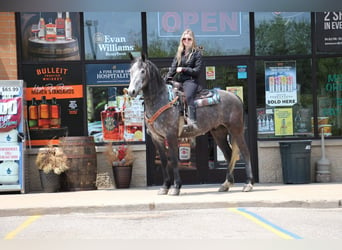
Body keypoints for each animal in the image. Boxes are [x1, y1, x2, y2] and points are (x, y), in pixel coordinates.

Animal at [127, 53, 252, 196]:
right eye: (130, 72)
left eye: (143, 71)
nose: (131, 91)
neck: (161, 99)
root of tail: (236, 97)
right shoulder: (156, 138)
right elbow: (164, 161)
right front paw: (164, 187)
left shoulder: (171, 135)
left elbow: (174, 160)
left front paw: (176, 187)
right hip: (219, 133)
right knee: (229, 154)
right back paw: (226, 184)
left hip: (236, 130)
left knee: (245, 152)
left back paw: (248, 184)